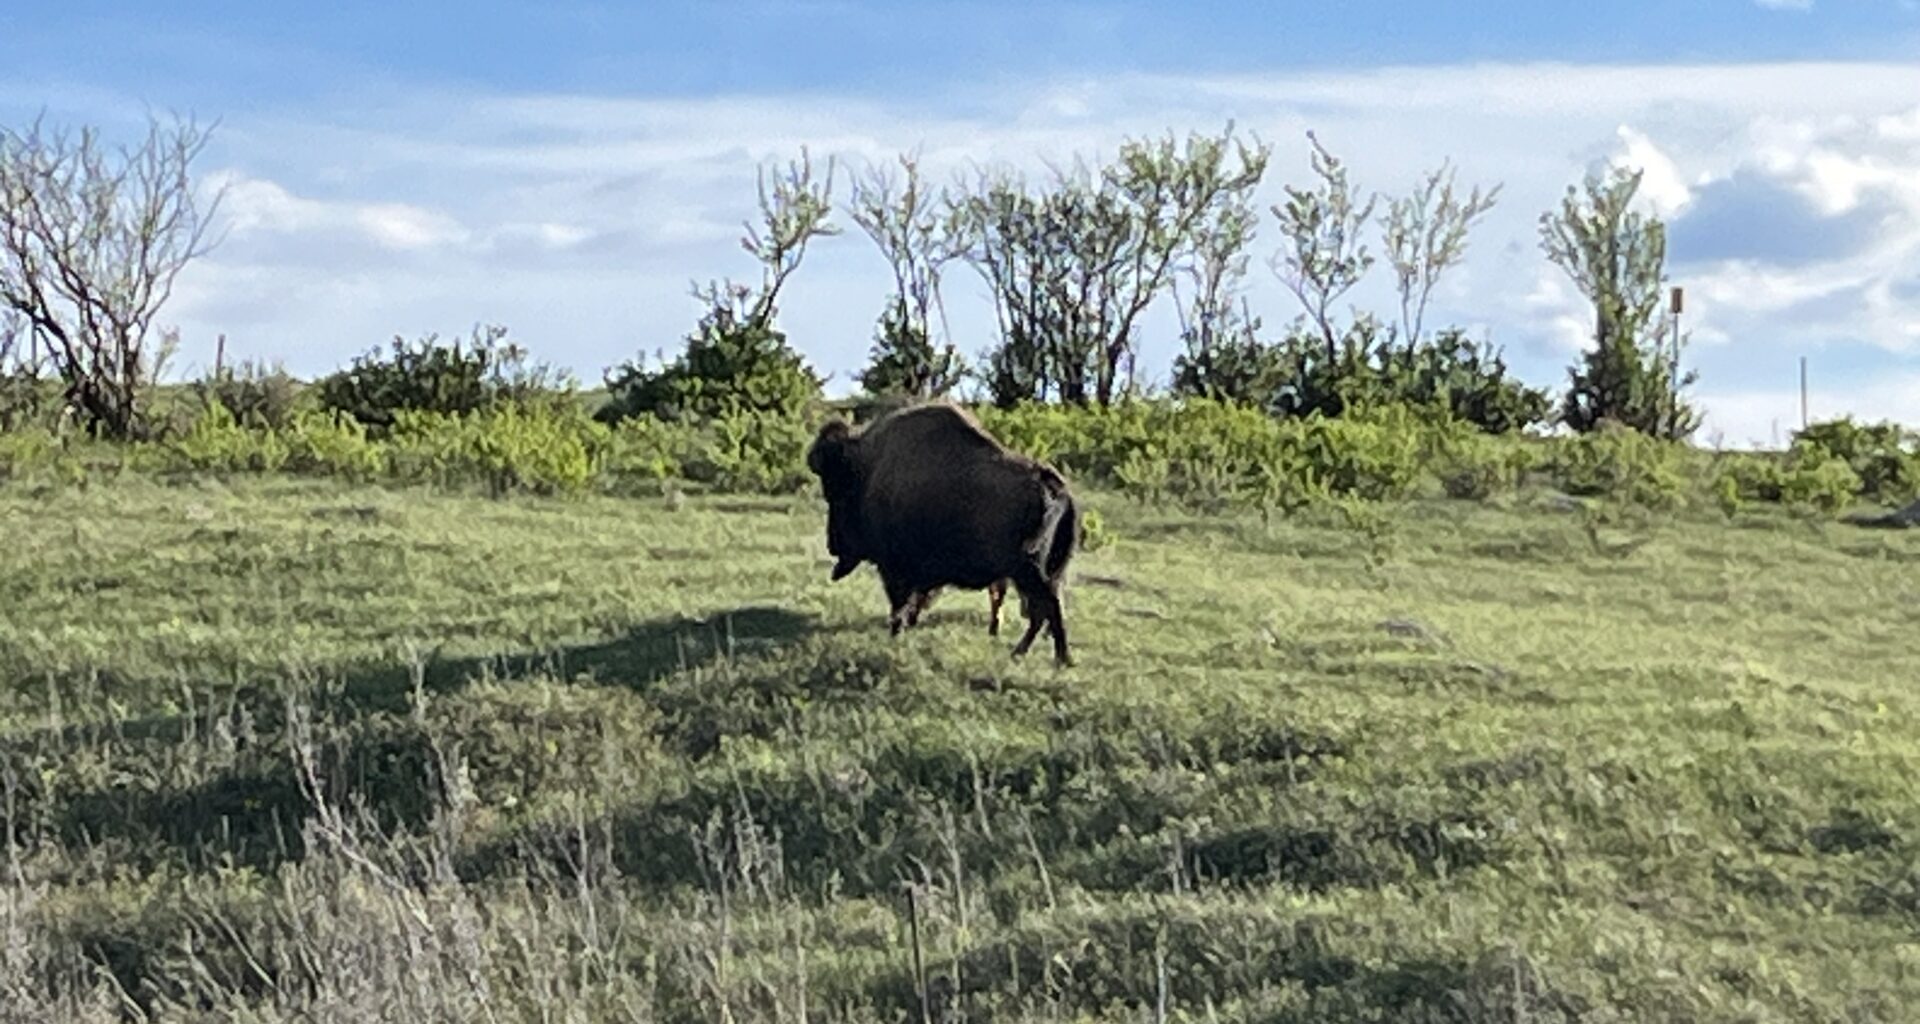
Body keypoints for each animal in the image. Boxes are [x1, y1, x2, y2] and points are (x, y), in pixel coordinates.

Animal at [808, 401, 1078, 665]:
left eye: (836, 493)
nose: (832, 544)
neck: (868, 471)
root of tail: (1054, 487)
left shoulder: (895, 569)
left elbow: (900, 603)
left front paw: (896, 633)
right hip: (1045, 572)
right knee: (1044, 610)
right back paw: (1025, 653)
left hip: (1030, 572)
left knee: (1048, 606)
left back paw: (1058, 658)